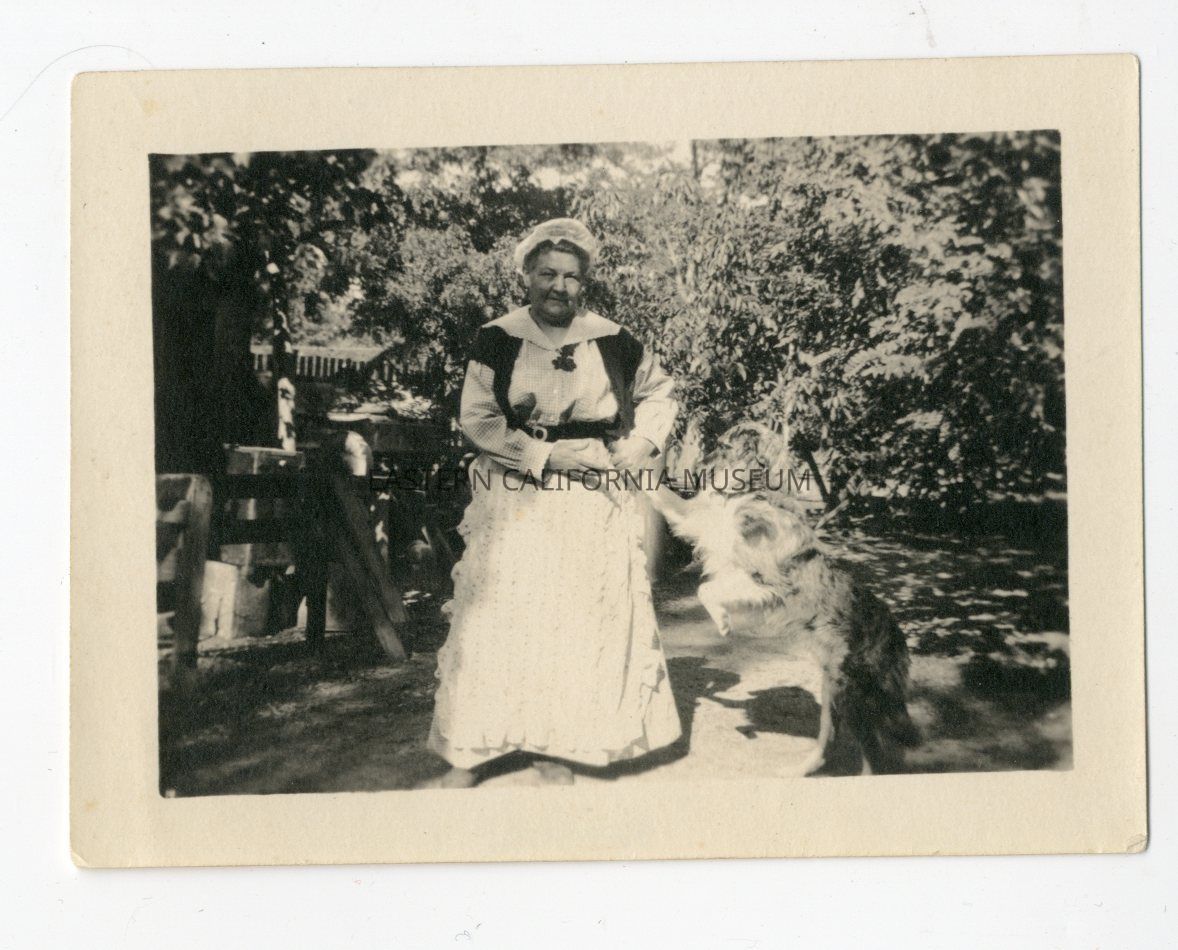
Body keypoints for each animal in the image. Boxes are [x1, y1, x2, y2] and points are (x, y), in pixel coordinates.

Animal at [648, 425, 920, 776]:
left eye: (724, 447)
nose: (696, 469)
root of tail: (896, 634)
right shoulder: (703, 522)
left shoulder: (766, 579)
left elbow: (706, 589)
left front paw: (723, 623)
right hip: (838, 692)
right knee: (842, 744)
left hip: (849, 694)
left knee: (864, 752)